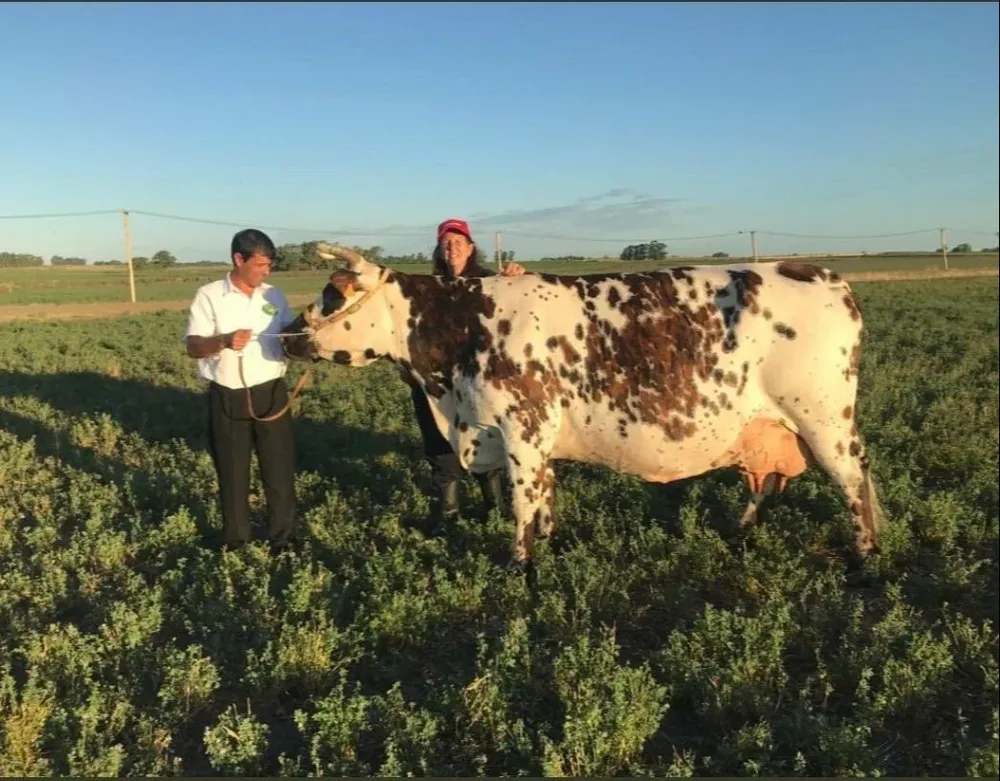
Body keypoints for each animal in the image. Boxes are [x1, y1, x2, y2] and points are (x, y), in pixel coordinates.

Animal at [281, 242, 883, 578]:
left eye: (333, 293)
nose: (287, 333)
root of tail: (823, 274)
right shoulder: (524, 436)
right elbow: (544, 493)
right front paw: (549, 541)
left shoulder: (523, 427)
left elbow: (523, 502)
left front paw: (519, 567)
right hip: (772, 426)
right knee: (768, 481)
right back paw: (741, 532)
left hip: (824, 419)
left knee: (854, 481)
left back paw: (865, 562)